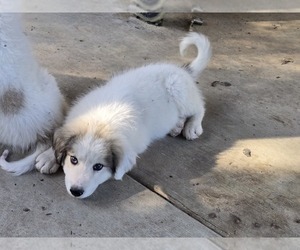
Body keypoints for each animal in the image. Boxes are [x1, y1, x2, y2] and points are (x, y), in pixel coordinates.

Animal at [53, 32, 211, 198]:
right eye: (73, 160)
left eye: (98, 166)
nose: (76, 191)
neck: (99, 123)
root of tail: (183, 71)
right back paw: (177, 126)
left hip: (180, 90)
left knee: (200, 107)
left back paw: (192, 127)